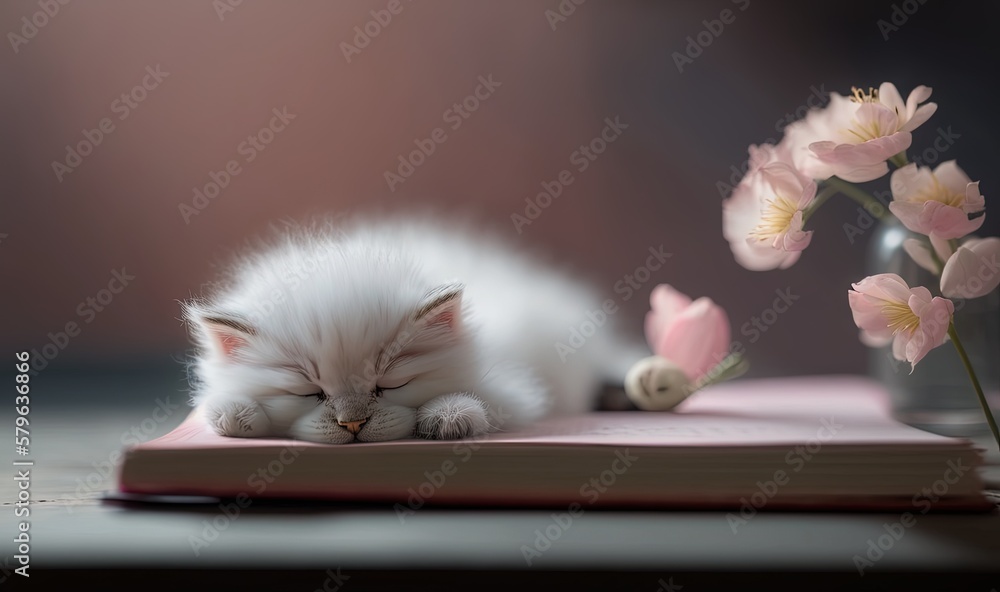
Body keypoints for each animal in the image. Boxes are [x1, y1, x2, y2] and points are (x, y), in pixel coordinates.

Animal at [186, 215, 640, 442]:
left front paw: (450, 414)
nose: (353, 425)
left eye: (390, 385)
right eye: (309, 393)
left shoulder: (515, 385)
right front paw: (234, 412)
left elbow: (489, 400)